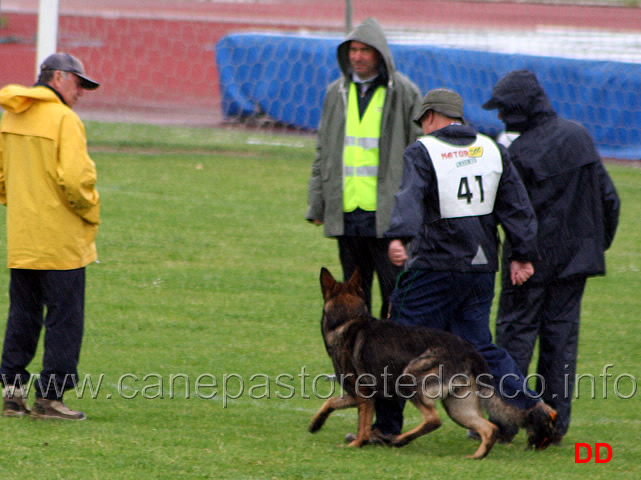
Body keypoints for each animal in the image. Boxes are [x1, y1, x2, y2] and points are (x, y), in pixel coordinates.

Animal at [310, 268, 556, 460]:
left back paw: (401, 439)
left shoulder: (363, 396)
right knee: (489, 428)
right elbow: (329, 402)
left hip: (409, 380)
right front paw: (315, 424)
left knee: (433, 419)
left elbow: (360, 424)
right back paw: (476, 456)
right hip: (458, 407)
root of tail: (470, 351)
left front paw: (356, 444)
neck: (348, 319)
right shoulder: (354, 395)